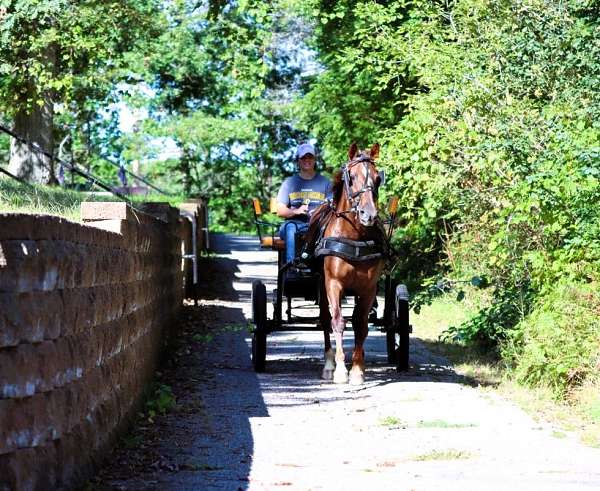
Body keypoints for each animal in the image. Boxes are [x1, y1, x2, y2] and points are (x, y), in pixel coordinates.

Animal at [308, 141, 386, 384]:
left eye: (378, 178)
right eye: (351, 177)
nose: (368, 214)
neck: (354, 237)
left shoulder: (368, 287)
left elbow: (360, 324)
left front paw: (358, 370)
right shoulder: (333, 284)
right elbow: (338, 322)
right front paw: (341, 370)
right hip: (322, 285)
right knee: (326, 320)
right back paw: (328, 364)